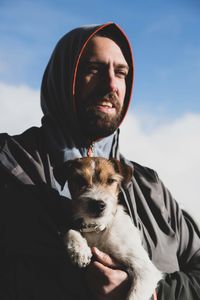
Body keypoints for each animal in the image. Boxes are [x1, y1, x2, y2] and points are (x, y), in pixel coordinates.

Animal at [55, 158, 161, 298]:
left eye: (111, 180)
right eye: (80, 180)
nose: (97, 204)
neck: (97, 228)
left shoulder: (145, 269)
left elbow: (134, 296)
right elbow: (71, 231)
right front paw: (80, 252)